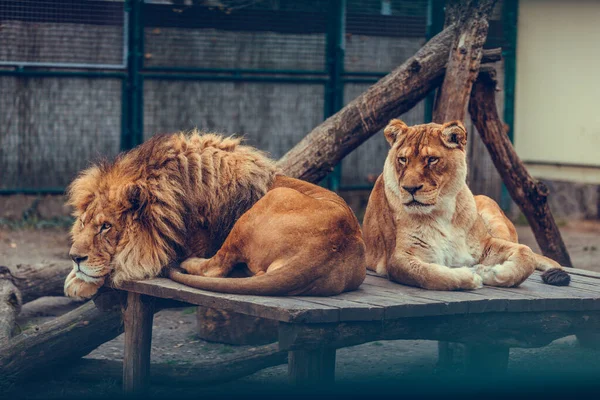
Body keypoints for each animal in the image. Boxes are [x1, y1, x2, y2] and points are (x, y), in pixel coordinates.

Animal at [64, 130, 366, 298]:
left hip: (271, 201)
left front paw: (78, 282)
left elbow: (128, 261)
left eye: (106, 227)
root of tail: (324, 252)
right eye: (83, 223)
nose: (75, 258)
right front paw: (75, 276)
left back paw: (188, 263)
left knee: (216, 267)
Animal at [364, 119, 568, 290]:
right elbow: (429, 275)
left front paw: (488, 272)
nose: (409, 188)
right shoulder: (398, 258)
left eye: (432, 159)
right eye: (403, 159)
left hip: (491, 209)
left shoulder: (485, 244)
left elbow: (527, 254)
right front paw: (470, 276)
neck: (441, 211)